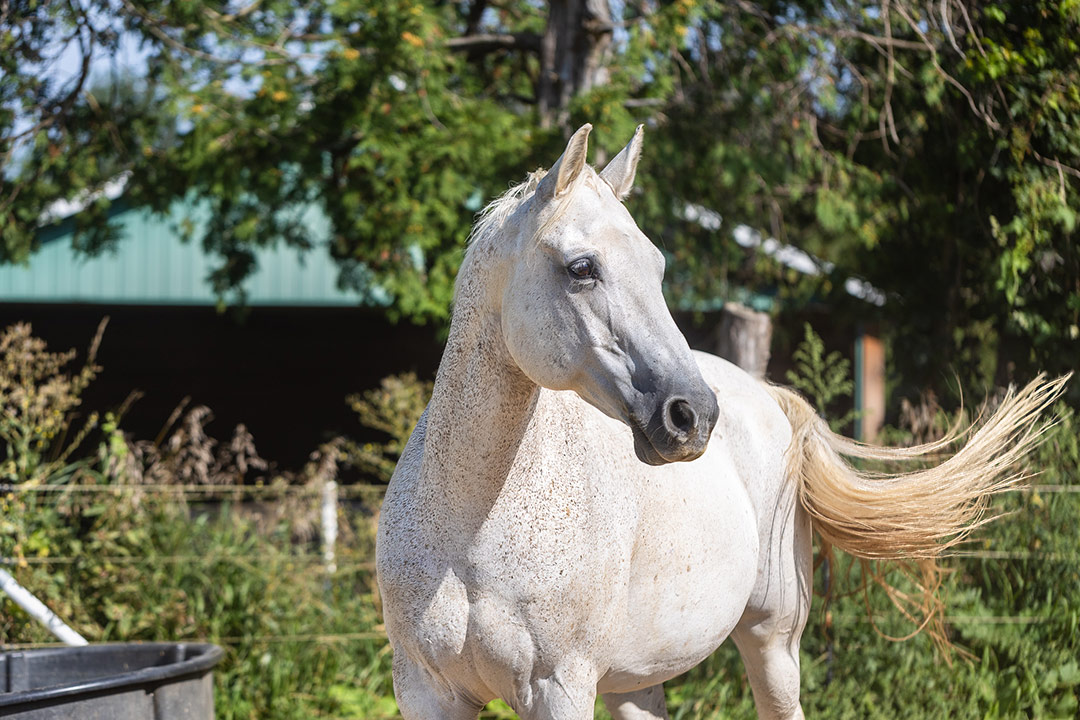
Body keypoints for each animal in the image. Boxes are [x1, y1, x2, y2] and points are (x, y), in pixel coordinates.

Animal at [375, 124, 1066, 719]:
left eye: (657, 267)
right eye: (581, 268)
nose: (693, 415)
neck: (467, 526)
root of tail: (767, 397)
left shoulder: (559, 688)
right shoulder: (426, 692)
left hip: (772, 644)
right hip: (636, 681)